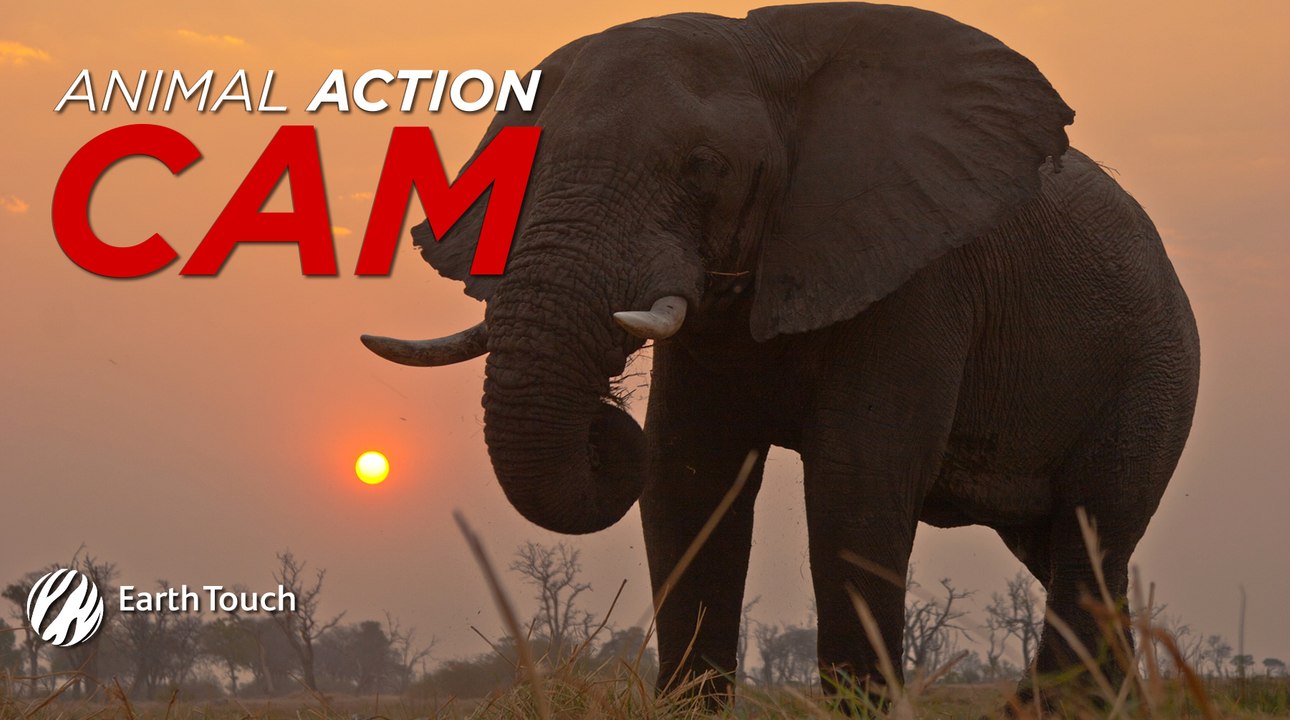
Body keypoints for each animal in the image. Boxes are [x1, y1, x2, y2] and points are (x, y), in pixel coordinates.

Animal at [362, 2, 1200, 705]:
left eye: (704, 166)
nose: (605, 420)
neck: (767, 55)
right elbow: (685, 479)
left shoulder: (917, 279)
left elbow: (856, 482)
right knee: (1068, 557)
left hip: (1155, 367)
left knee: (1091, 541)